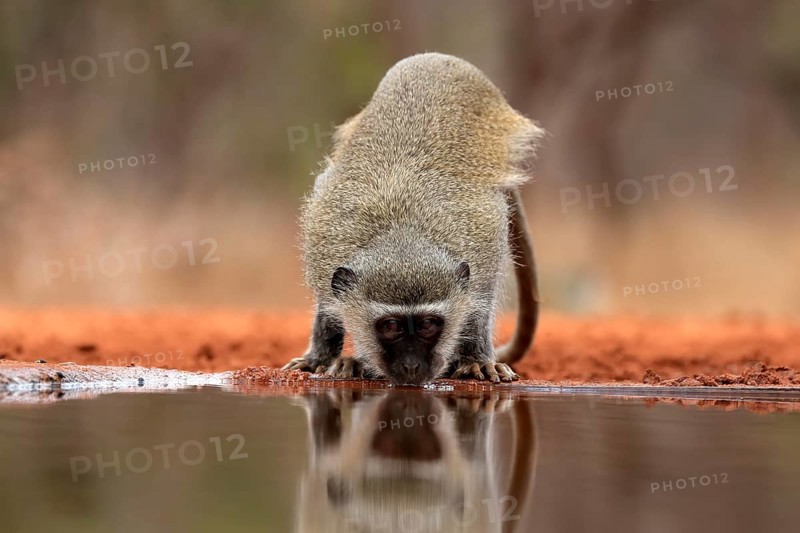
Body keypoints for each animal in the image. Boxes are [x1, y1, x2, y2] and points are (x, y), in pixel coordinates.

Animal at [283, 52, 544, 385]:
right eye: (391, 326)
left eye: (428, 324)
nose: (411, 367)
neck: (402, 231)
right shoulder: (325, 240)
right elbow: (327, 306)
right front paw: (322, 356)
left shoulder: (483, 242)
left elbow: (480, 302)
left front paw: (477, 359)